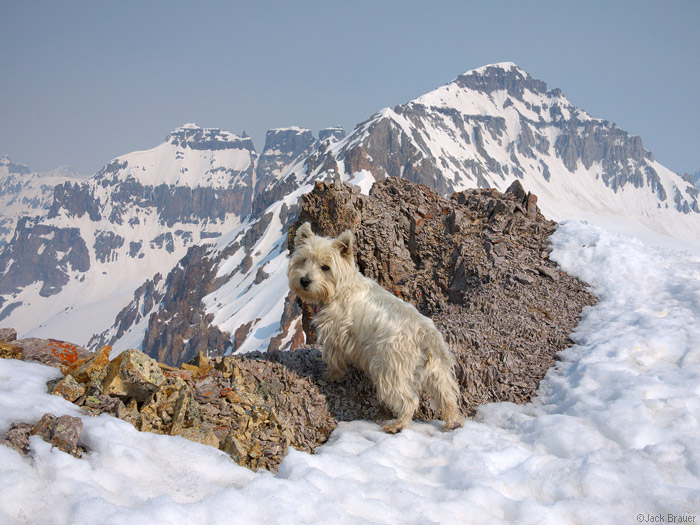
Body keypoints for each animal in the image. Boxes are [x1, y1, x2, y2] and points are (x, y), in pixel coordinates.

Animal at [288, 223, 462, 432]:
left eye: (325, 267)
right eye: (303, 260)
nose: (305, 280)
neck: (341, 288)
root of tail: (425, 334)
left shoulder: (334, 336)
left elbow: (335, 360)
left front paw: (330, 376)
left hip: (391, 369)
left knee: (409, 400)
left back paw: (397, 425)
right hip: (437, 369)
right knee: (447, 396)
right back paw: (453, 422)